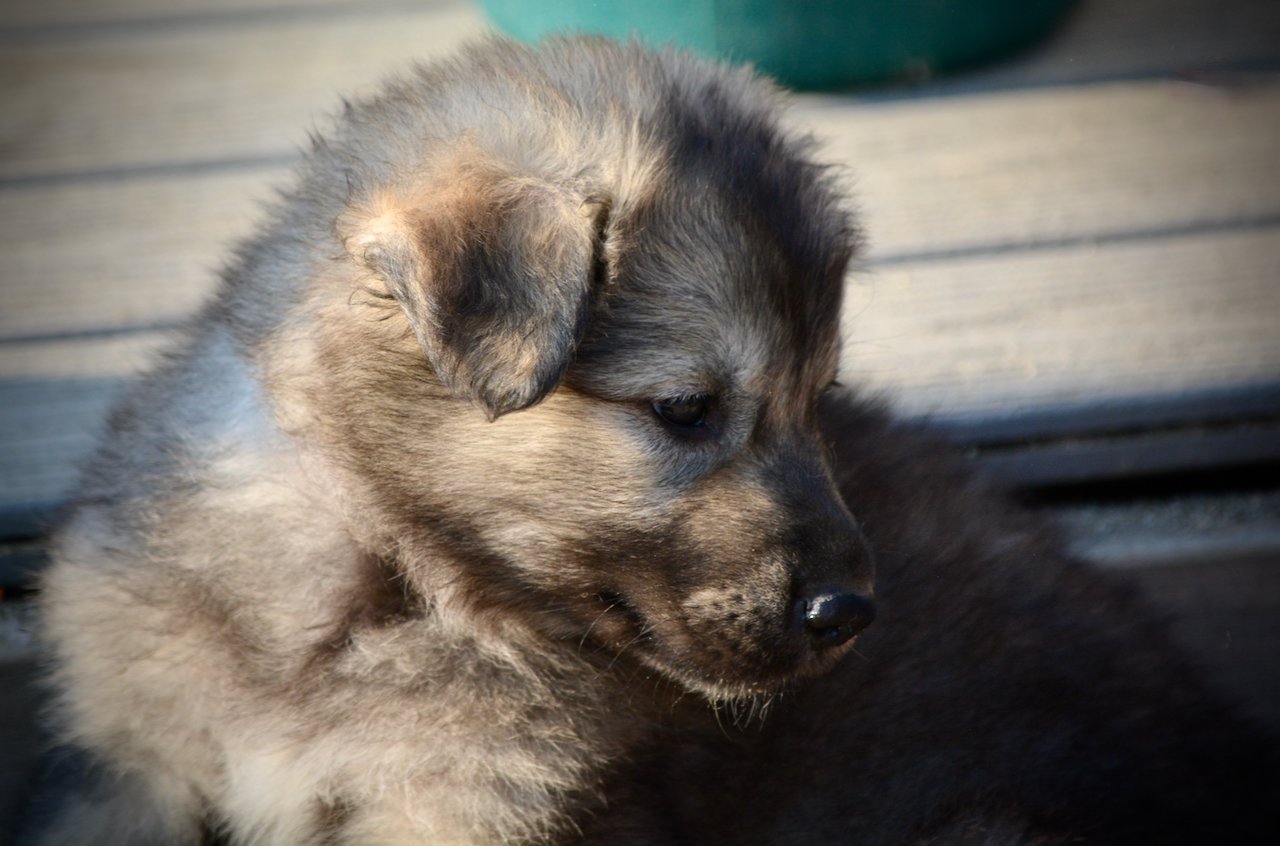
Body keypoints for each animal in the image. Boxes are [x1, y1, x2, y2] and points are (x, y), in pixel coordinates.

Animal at [32, 37, 1280, 844]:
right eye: (683, 409)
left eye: (818, 397)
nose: (850, 614)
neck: (382, 585)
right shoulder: (129, 772)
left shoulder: (463, 810)